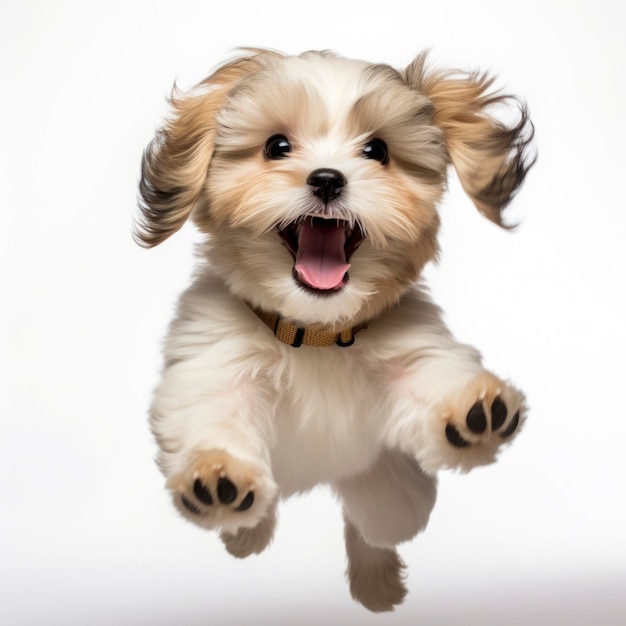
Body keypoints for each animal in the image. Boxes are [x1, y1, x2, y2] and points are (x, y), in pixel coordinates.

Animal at [135, 48, 532, 608]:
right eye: (277, 146)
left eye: (377, 150)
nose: (327, 178)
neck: (312, 333)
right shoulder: (214, 365)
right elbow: (212, 419)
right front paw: (217, 478)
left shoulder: (408, 351)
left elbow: (430, 381)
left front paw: (475, 413)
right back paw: (245, 530)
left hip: (385, 489)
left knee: (379, 523)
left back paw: (375, 577)